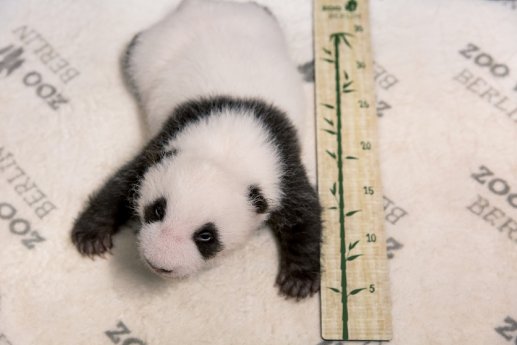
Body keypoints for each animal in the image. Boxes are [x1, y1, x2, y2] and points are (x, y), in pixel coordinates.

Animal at [70, 0, 320, 298]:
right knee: (135, 49)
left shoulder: (280, 159)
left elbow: (304, 211)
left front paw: (299, 280)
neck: (226, 148)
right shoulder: (170, 136)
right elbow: (125, 180)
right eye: (157, 210)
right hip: (152, 48)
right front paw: (91, 235)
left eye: (206, 236)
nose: (159, 263)